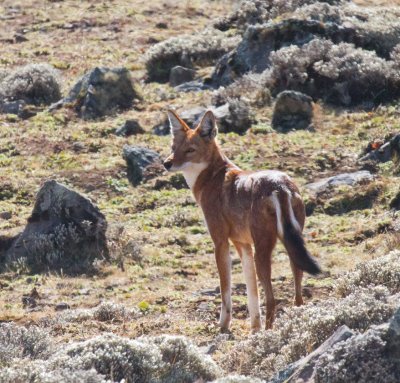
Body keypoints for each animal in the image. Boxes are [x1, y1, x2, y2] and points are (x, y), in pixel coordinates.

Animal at [162, 109, 318, 332]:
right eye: (173, 148)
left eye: (190, 150)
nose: (166, 163)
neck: (211, 178)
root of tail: (279, 186)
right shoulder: (243, 245)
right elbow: (252, 293)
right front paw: (254, 327)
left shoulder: (220, 242)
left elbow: (225, 290)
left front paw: (224, 325)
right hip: (290, 251)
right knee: (297, 297)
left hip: (263, 252)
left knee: (272, 299)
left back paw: (267, 335)